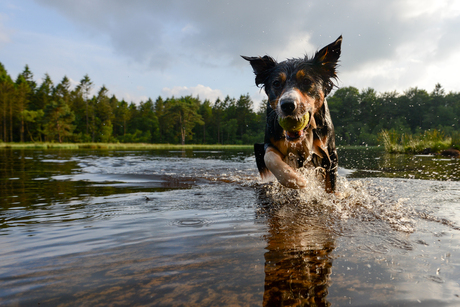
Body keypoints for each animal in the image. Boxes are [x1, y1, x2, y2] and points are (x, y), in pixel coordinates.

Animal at [241, 35, 342, 192]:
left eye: (306, 81)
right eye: (276, 83)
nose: (287, 105)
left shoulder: (329, 151)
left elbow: (331, 185)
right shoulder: (270, 140)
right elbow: (270, 158)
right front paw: (294, 179)